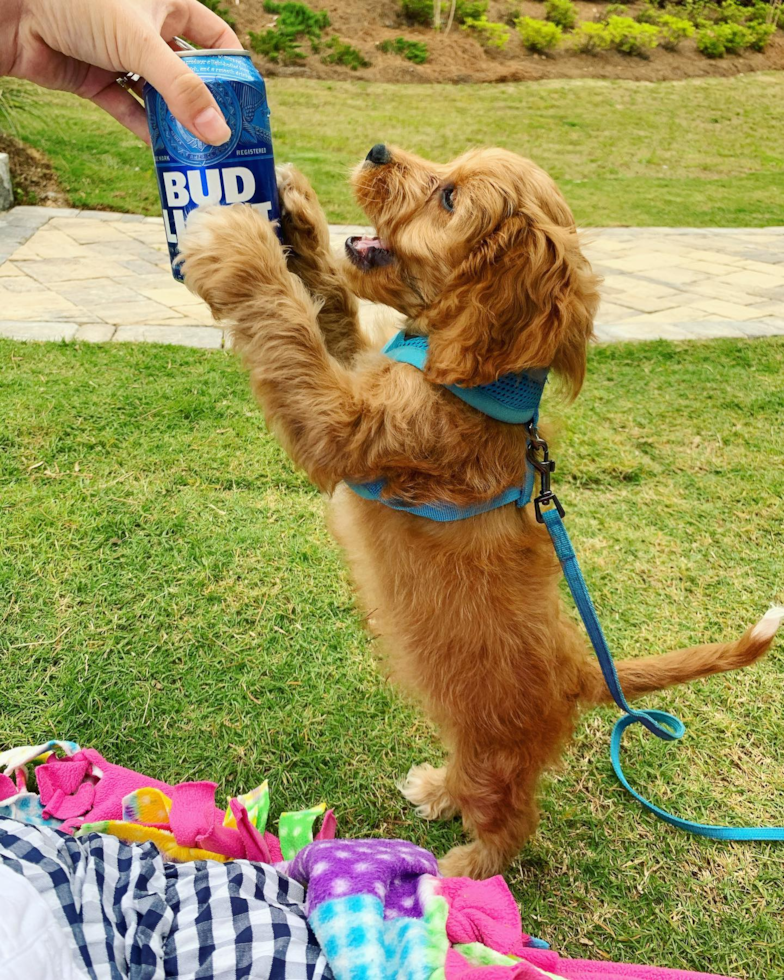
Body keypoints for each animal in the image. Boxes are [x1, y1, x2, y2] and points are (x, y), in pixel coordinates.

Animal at [179, 145, 784, 880]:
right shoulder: (361, 371)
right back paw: (437, 791)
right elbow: (333, 311)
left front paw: (237, 241)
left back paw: (462, 871)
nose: (377, 150)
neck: (469, 383)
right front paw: (293, 221)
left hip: (497, 761)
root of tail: (578, 671)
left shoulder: (344, 428)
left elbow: (289, 328)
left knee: (510, 822)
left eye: (447, 198)